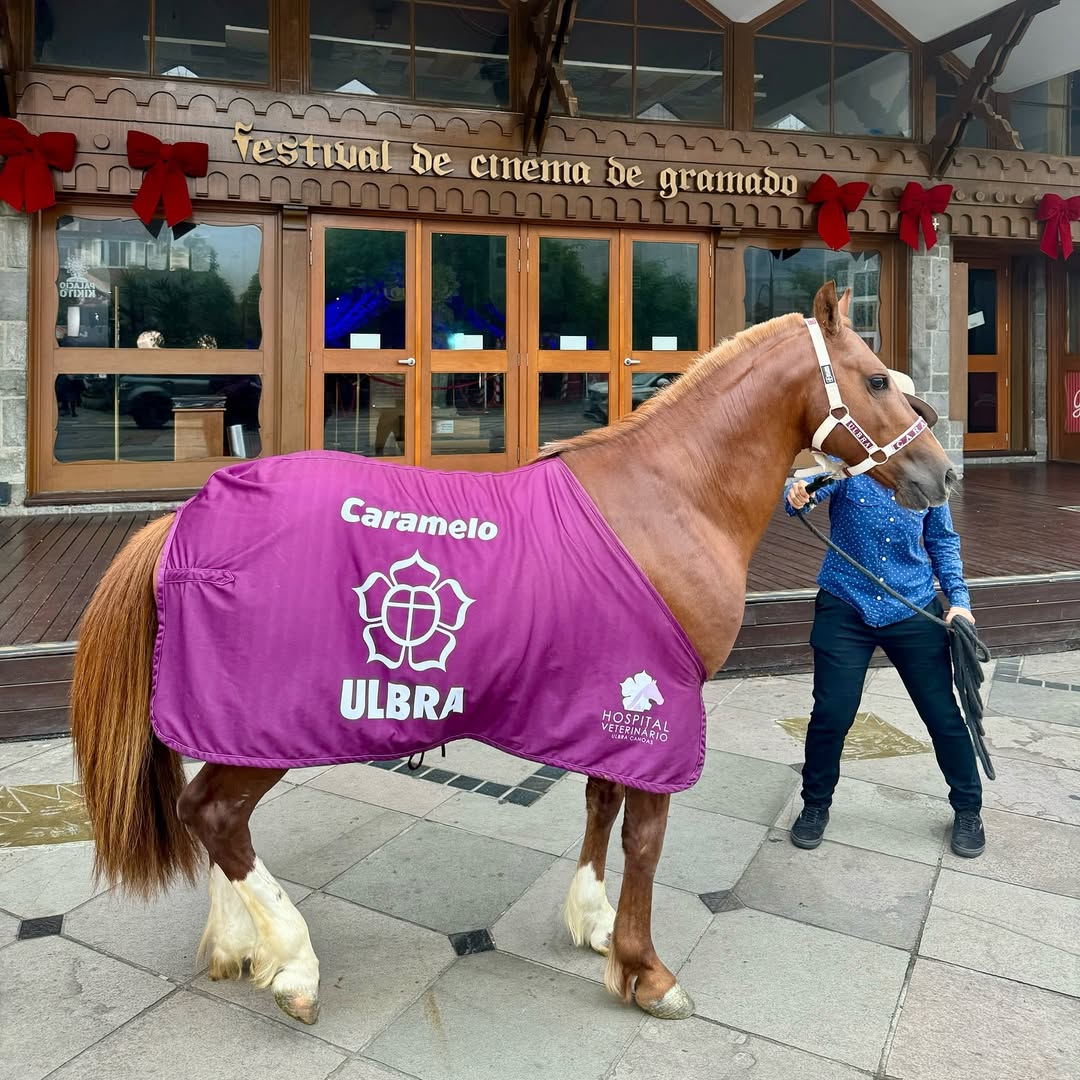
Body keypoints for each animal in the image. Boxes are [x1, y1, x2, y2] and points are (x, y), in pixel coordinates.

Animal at [71, 282, 954, 1023]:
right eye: (877, 379)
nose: (939, 475)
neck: (669, 496)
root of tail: (184, 522)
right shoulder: (662, 704)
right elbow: (644, 838)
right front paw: (646, 971)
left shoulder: (614, 698)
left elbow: (601, 804)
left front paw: (594, 923)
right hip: (269, 724)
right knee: (214, 815)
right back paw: (292, 963)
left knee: (210, 818)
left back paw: (238, 944)